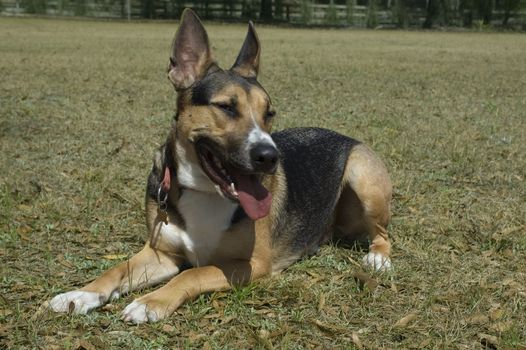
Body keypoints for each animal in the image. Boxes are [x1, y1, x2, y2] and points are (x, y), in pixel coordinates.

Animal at [47, 8, 394, 324]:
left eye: (269, 113)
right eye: (226, 107)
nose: (270, 157)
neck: (204, 191)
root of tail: (346, 136)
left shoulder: (253, 264)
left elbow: (193, 273)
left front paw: (150, 302)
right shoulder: (161, 254)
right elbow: (118, 268)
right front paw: (81, 294)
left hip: (364, 178)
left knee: (383, 234)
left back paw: (378, 258)